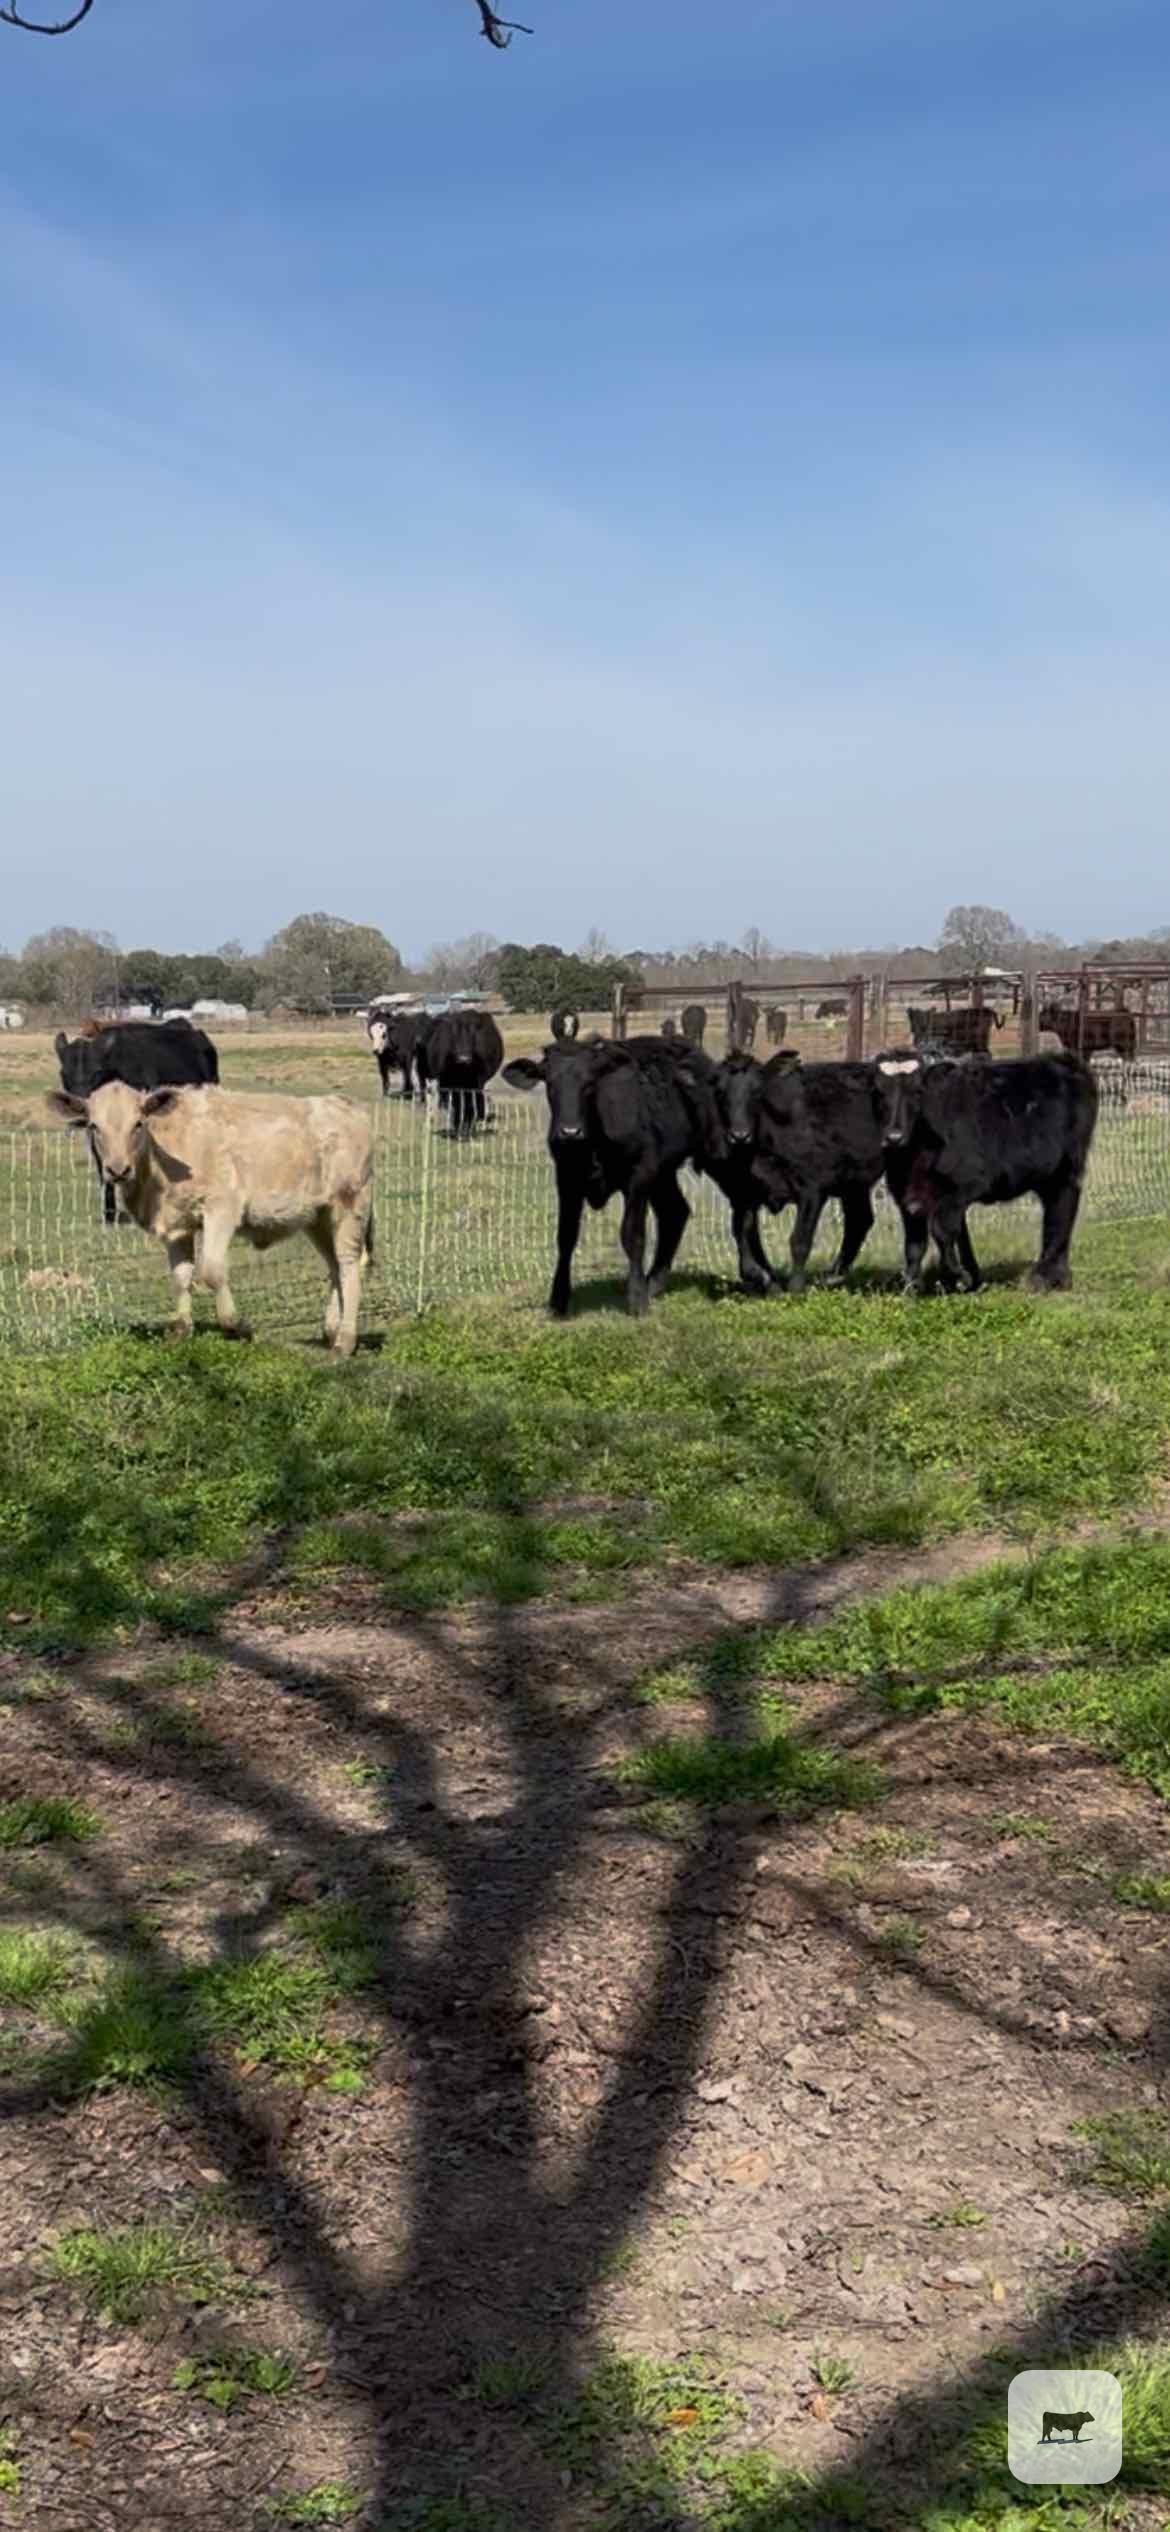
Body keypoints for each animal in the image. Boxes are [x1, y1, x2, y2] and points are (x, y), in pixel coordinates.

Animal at [48, 1081, 373, 1355]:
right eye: (94, 1126)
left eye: (138, 1123)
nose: (117, 1170)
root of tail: (347, 1107)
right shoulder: (177, 1224)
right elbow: (181, 1276)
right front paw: (181, 1330)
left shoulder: (221, 1208)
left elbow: (212, 1271)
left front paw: (236, 1325)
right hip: (318, 1217)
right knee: (334, 1266)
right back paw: (331, 1329)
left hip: (349, 1204)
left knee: (349, 1264)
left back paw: (345, 1340)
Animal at [424, 1007, 504, 1137]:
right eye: (453, 1035)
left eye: (473, 1036)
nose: (464, 1058)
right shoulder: (447, 1083)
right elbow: (455, 1104)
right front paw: (458, 1127)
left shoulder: (478, 1082)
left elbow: (472, 1104)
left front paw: (470, 1126)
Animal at [502, 1034, 724, 1317]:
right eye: (550, 1083)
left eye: (589, 1084)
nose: (570, 1131)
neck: (592, 1144)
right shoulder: (566, 1178)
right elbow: (566, 1236)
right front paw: (558, 1300)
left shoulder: (639, 1175)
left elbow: (632, 1234)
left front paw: (636, 1298)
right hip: (663, 1173)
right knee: (675, 1212)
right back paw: (654, 1283)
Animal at [708, 1051, 886, 1294]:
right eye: (720, 1092)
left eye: (757, 1091)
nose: (739, 1135)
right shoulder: (745, 1194)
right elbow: (744, 1237)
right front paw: (761, 1277)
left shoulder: (813, 1189)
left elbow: (800, 1240)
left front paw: (795, 1288)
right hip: (854, 1182)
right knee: (860, 1219)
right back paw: (832, 1275)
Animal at [873, 1048, 1098, 1294]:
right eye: (878, 1092)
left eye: (917, 1092)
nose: (894, 1137)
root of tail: (1061, 1059)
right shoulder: (907, 1196)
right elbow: (914, 1245)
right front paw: (912, 1288)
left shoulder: (965, 1185)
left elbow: (941, 1230)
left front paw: (957, 1275)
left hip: (1067, 1168)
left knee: (1062, 1208)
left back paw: (1048, 1277)